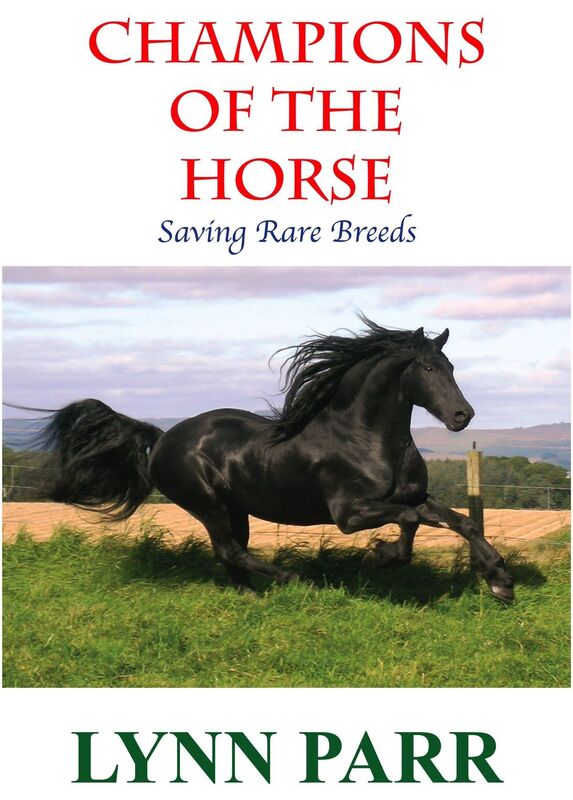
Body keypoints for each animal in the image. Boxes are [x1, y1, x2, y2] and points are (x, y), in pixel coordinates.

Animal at [30, 317, 514, 599]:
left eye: (451, 367)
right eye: (428, 369)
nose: (463, 416)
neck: (366, 438)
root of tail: (164, 437)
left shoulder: (415, 496)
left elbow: (461, 522)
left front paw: (500, 581)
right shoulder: (350, 513)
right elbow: (411, 522)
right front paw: (382, 556)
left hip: (235, 507)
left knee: (233, 555)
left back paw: (252, 597)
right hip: (208, 504)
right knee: (230, 550)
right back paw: (291, 581)